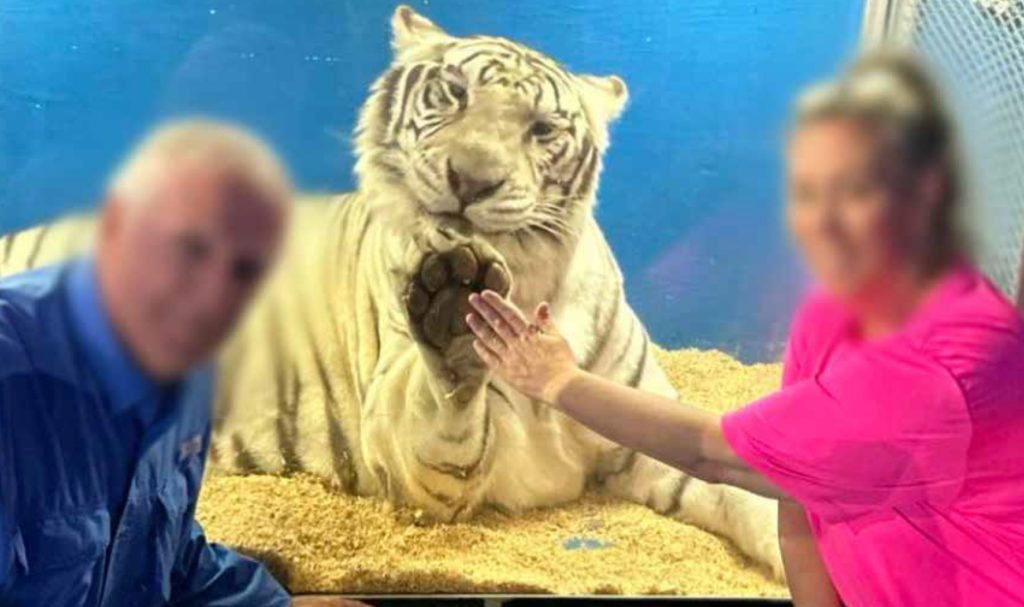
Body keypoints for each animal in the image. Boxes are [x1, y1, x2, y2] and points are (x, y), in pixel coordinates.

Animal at [2, 3, 782, 577]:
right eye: (456, 94)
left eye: (540, 130)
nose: (472, 178)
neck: (530, 281)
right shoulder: (421, 457)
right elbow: (441, 413)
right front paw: (456, 307)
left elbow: (745, 486)